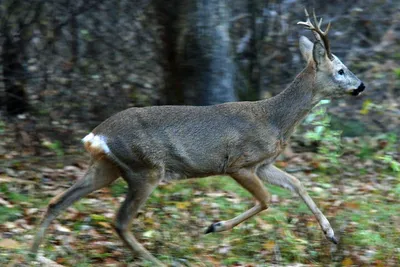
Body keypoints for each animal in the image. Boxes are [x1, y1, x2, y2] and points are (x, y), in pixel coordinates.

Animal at [29, 9, 364, 266]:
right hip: (144, 168)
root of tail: (96, 135)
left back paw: (35, 254)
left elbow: (297, 184)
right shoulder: (238, 163)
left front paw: (331, 234)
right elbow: (268, 199)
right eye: (341, 70)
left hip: (107, 167)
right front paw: (214, 226)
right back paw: (156, 260)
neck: (274, 120)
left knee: (57, 201)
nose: (361, 86)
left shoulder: (263, 164)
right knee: (120, 220)